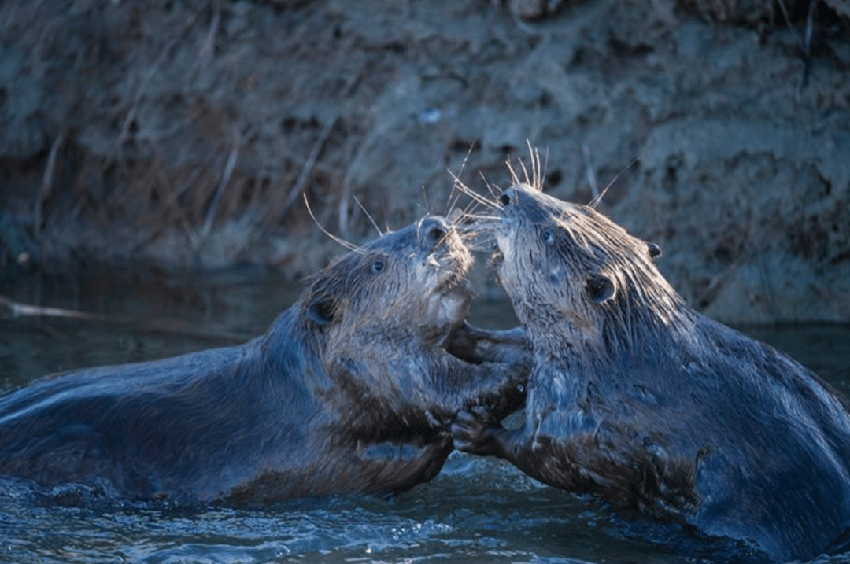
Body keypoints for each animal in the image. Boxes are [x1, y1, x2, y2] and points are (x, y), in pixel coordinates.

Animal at [454, 181, 848, 560]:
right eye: (577, 205)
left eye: (550, 234)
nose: (509, 195)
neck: (627, 353)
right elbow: (519, 347)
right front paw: (460, 331)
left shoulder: (589, 420)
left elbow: (549, 457)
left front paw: (474, 428)